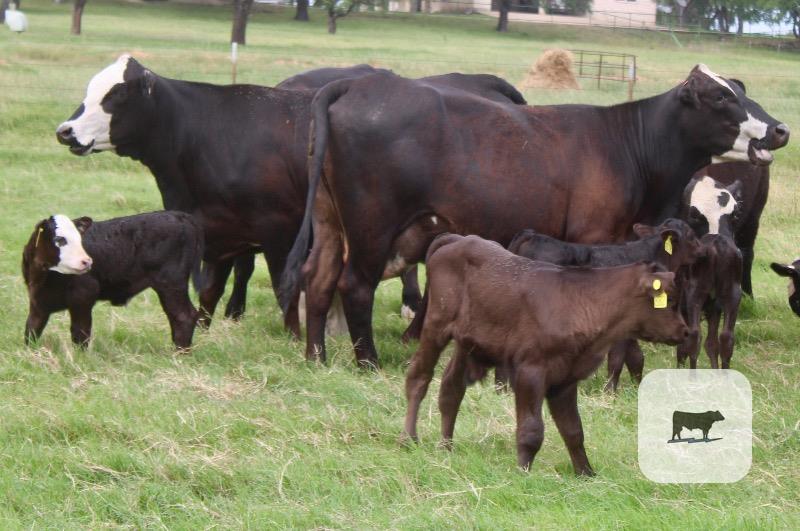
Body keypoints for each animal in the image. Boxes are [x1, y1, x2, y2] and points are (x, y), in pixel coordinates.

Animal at [22, 212, 202, 348]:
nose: (87, 261)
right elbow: (31, 329)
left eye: (80, 240)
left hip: (171, 283)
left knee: (184, 316)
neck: (43, 278)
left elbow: (80, 332)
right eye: (59, 240)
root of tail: (180, 215)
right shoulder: (37, 302)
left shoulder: (83, 297)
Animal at [55, 56, 527, 335]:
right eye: (89, 91)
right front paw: (206, 327)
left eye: (116, 95)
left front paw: (294, 335)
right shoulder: (216, 233)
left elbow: (287, 289)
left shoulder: (278, 232)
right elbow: (210, 289)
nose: (66, 131)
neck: (206, 134)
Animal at [402, 234, 689, 475]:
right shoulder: (531, 370)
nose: (685, 331)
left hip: (468, 343)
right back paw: (409, 438)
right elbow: (532, 429)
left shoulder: (566, 378)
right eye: (671, 302)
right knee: (418, 377)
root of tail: (459, 238)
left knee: (451, 389)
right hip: (436, 325)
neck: (582, 303)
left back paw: (446, 447)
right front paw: (522, 472)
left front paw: (586, 473)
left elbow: (573, 430)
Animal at [507, 218, 703, 391]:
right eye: (691, 235)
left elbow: (636, 358)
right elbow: (617, 359)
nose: (702, 249)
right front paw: (610, 392)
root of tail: (532, 235)